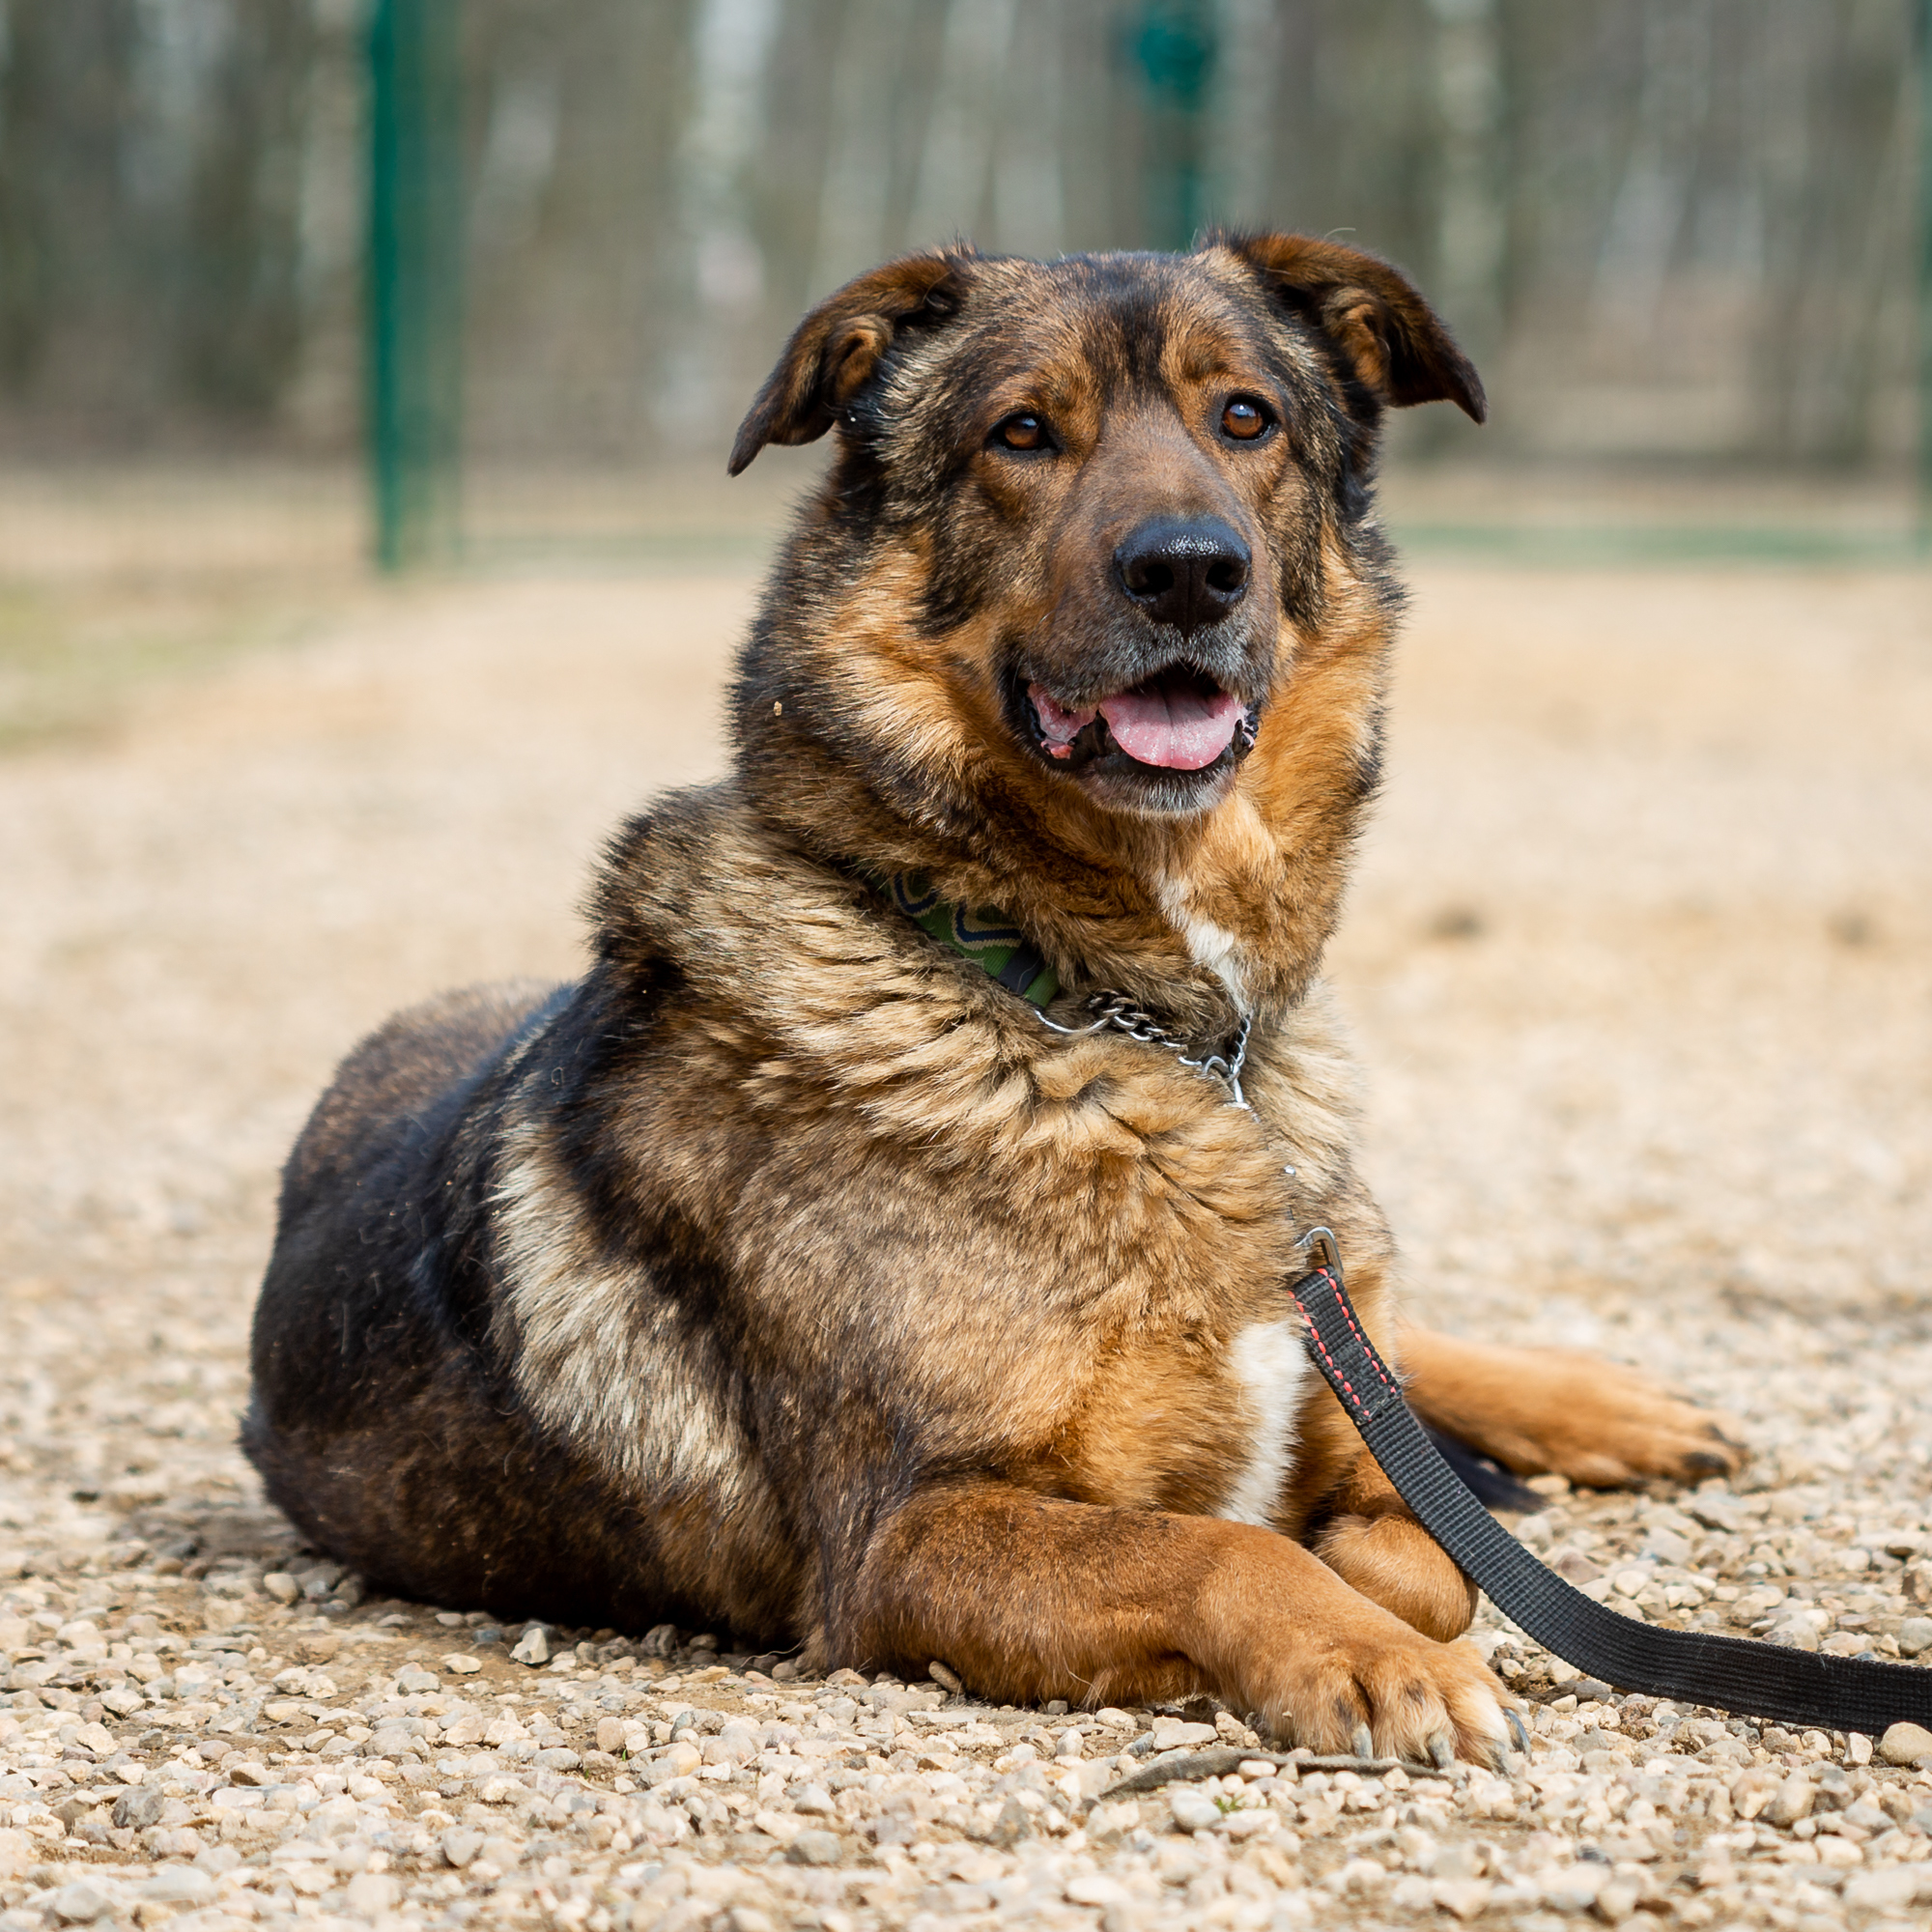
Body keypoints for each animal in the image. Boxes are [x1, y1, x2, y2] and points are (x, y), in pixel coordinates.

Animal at [242, 230, 1739, 1770]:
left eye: (1245, 418)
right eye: (1022, 433)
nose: (1190, 572)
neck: (1122, 1015)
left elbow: (1411, 1546)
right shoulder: (907, 1535)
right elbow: (1231, 1544)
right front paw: (1367, 1649)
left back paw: (1603, 1406)